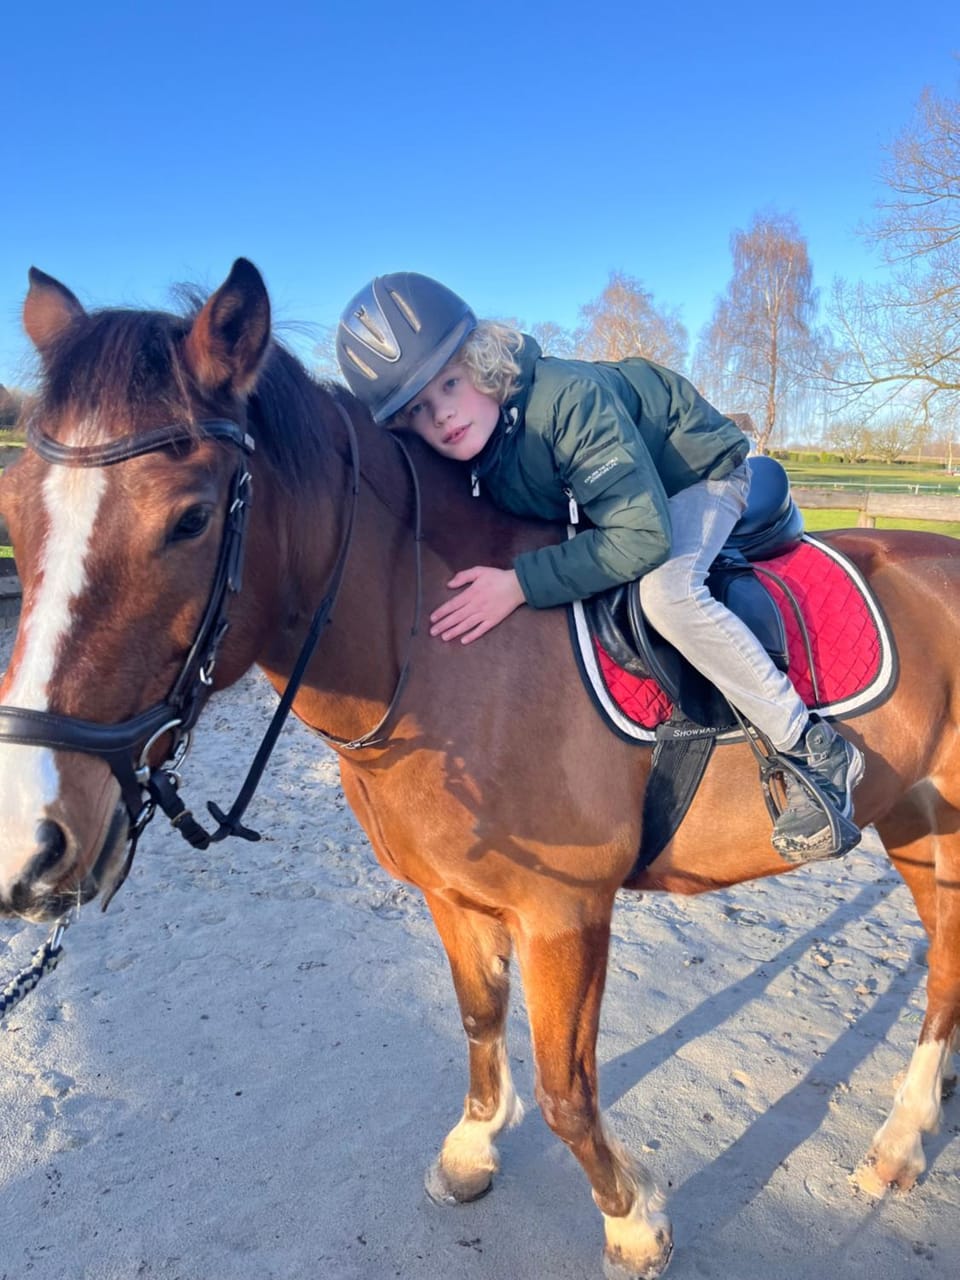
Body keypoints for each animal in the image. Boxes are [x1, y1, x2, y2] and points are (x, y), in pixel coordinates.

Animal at [1, 259, 958, 1280]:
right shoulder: (453, 896)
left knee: (944, 968)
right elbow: (476, 1021)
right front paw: (474, 1146)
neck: (439, 655)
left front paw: (633, 1222)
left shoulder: (566, 912)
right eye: (14, 510)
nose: (27, 845)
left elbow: (569, 1093)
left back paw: (901, 1139)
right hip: (913, 821)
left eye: (188, 520)